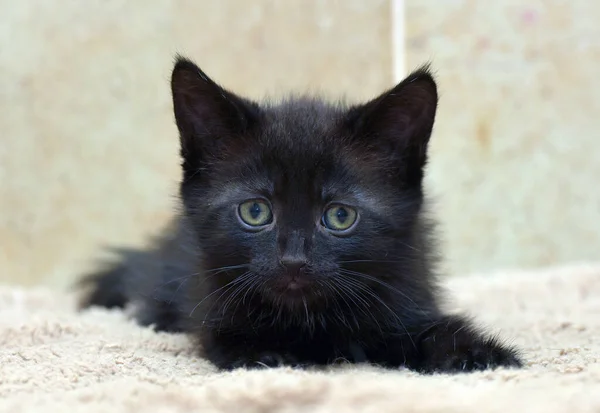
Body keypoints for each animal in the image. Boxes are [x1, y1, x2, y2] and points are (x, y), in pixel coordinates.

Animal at [77, 55, 524, 374]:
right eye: (255, 211)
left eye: (340, 216)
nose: (293, 260)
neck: (310, 322)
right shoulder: (211, 299)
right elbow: (228, 338)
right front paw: (266, 354)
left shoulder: (405, 287)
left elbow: (430, 329)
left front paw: (477, 353)